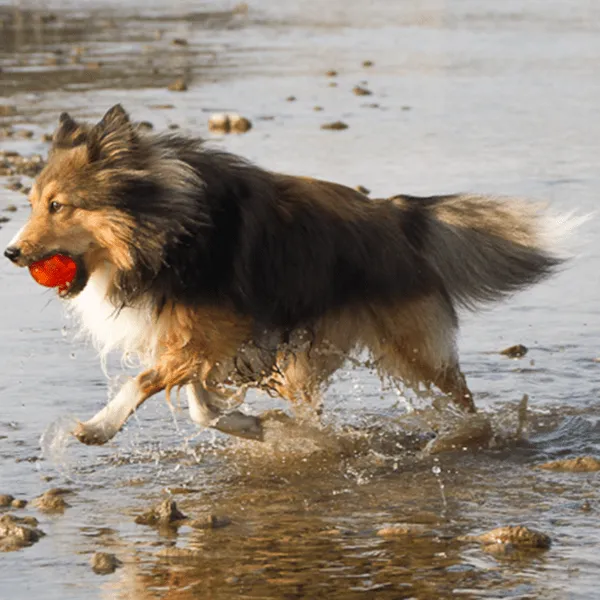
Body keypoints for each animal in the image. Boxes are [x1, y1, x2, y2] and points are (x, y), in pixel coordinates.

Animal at [4, 105, 576, 446]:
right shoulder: (199, 337)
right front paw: (251, 426)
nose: (11, 253)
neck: (165, 226)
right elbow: (198, 402)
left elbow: (147, 381)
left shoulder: (212, 330)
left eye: (58, 205)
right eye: (31, 204)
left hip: (410, 348)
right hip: (313, 352)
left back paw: (474, 433)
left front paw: (97, 427)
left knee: (460, 395)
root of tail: (395, 213)